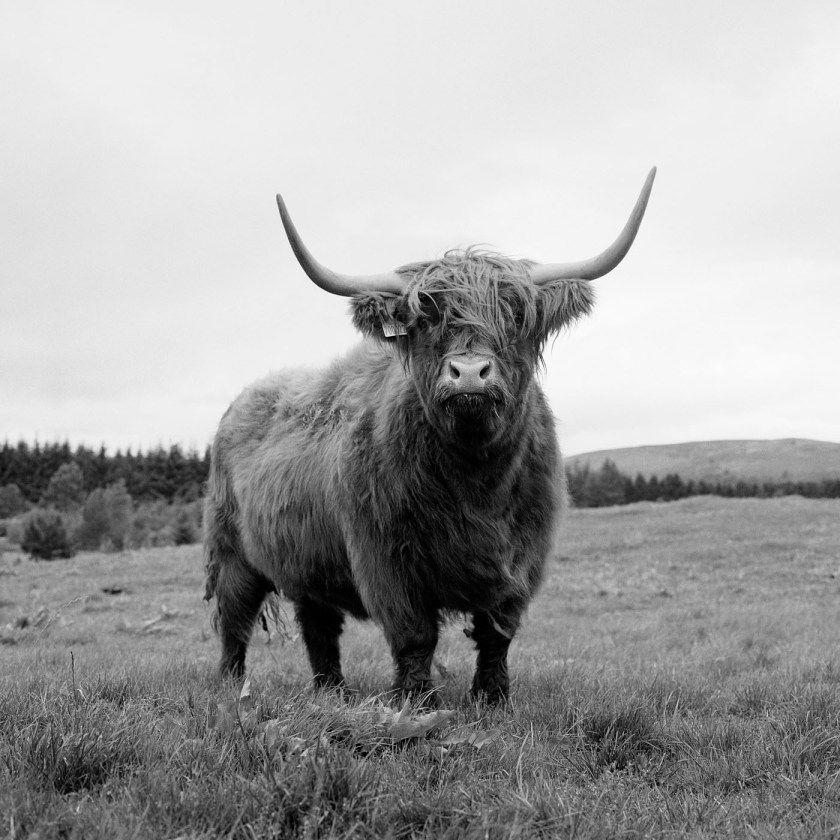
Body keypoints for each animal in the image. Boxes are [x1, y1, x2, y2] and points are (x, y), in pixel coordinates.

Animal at [203, 168, 656, 704]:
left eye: (514, 316)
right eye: (424, 319)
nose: (469, 374)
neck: (476, 479)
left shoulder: (523, 557)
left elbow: (497, 633)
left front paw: (492, 699)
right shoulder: (385, 558)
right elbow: (414, 634)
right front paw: (418, 702)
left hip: (306, 558)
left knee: (318, 624)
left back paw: (333, 691)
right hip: (230, 551)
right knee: (235, 621)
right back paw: (233, 688)